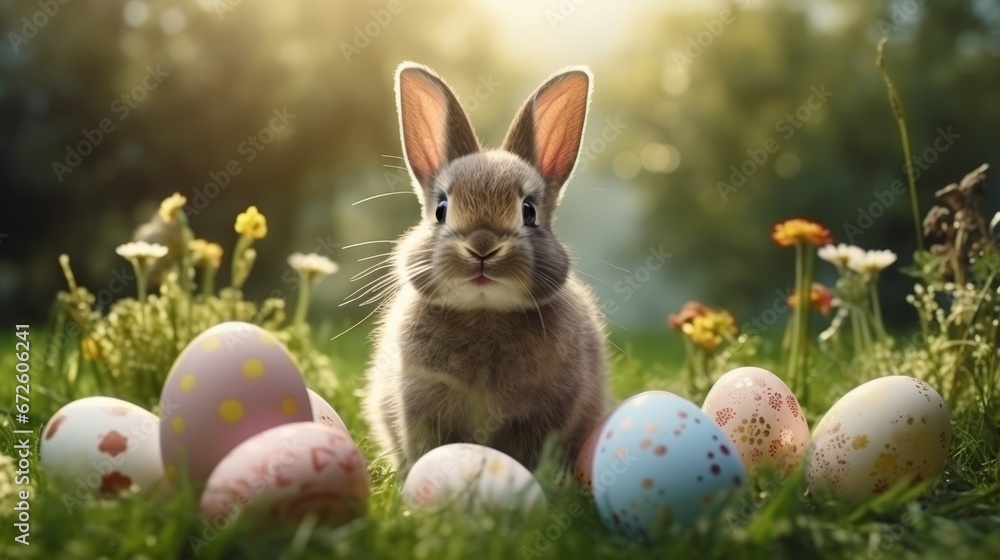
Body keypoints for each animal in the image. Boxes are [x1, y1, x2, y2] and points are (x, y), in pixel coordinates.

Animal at [362, 62, 608, 475]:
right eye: (441, 209)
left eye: (529, 211)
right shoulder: (422, 405)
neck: (484, 311)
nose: (482, 248)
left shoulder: (545, 415)